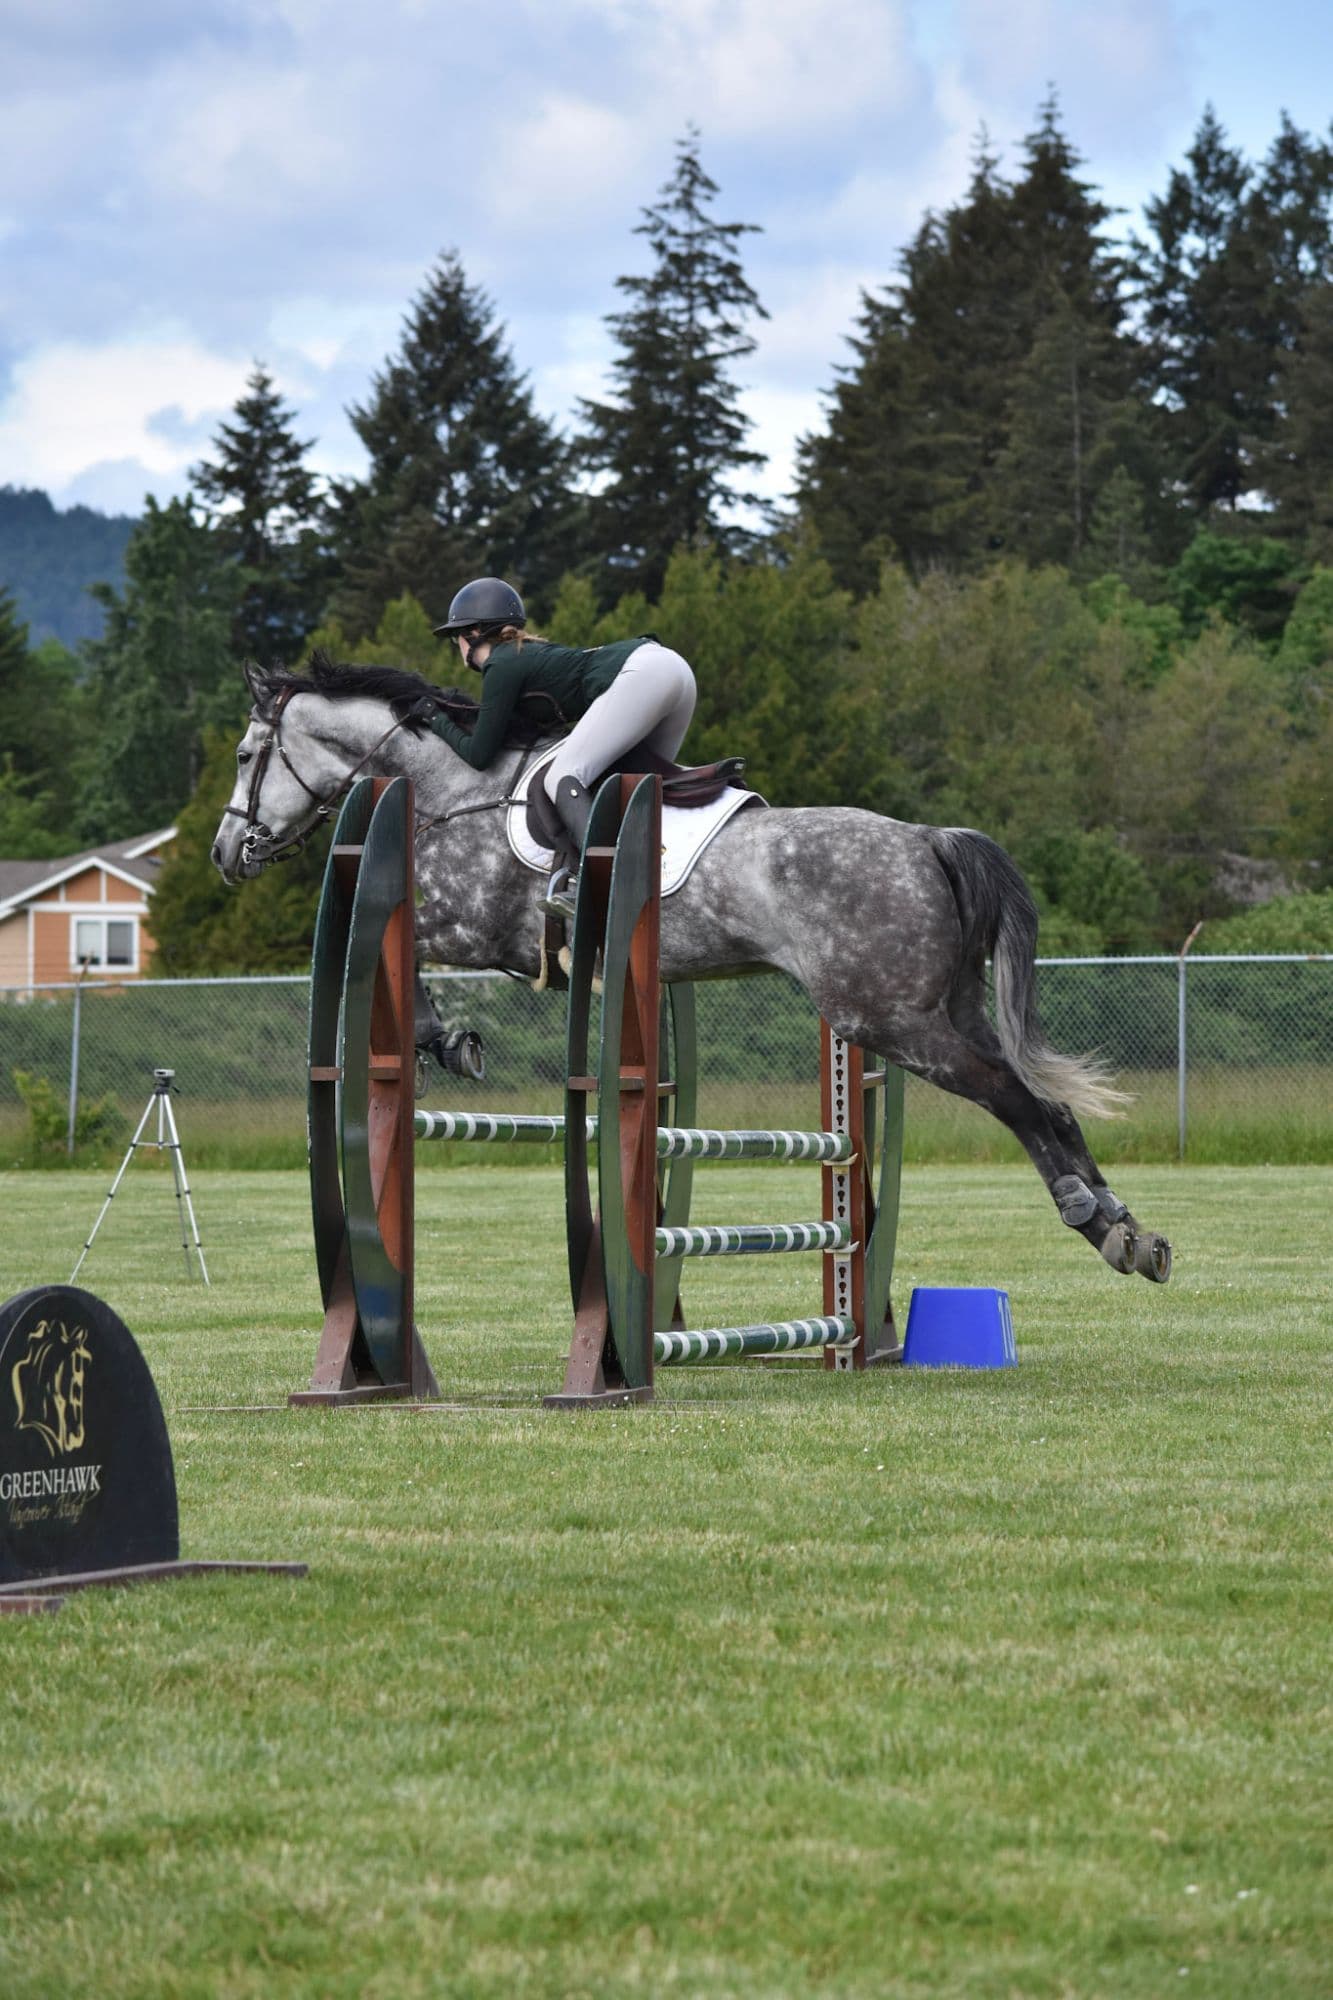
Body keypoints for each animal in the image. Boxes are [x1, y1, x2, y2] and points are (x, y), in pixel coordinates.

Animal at [211, 653, 1172, 1284]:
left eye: (245, 755)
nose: (227, 853)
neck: (455, 790)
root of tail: (929, 839)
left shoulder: (473, 927)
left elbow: (408, 961)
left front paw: (448, 1043)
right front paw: (446, 1043)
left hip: (887, 1018)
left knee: (1017, 1098)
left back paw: (1093, 1221)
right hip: (946, 1005)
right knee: (1042, 1101)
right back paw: (1128, 1234)